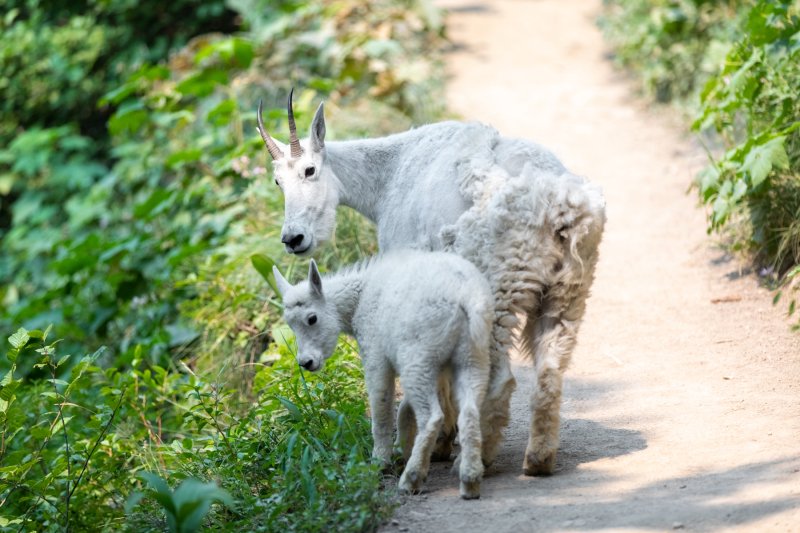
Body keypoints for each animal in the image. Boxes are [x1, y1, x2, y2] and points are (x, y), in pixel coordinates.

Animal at [258, 91, 608, 474]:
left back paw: (480, 455)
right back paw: (538, 458)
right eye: (277, 182)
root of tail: (558, 205)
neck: (388, 178)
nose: (293, 238)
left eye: (310, 170)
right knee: (551, 368)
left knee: (500, 375)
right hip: (569, 289)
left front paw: (438, 443)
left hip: (499, 289)